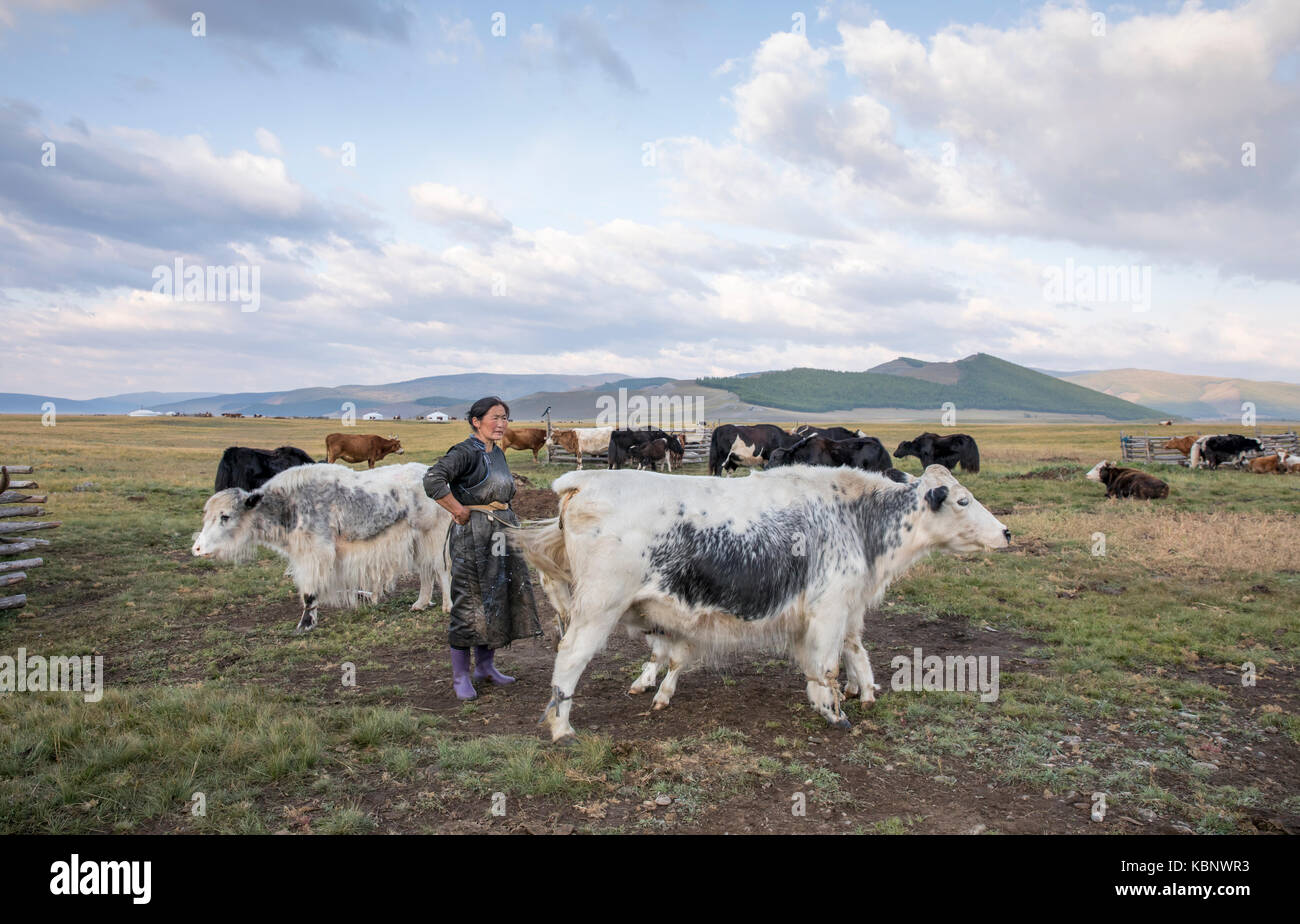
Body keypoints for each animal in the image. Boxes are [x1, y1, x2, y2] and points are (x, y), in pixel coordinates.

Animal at [189, 465, 454, 631]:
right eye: (206, 516)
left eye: (225, 516)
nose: (197, 549)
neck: (287, 505)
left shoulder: (315, 554)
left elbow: (309, 593)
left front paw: (305, 625)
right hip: (418, 540)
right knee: (426, 571)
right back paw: (420, 603)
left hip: (436, 536)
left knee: (441, 570)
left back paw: (447, 606)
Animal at [512, 465, 1008, 743]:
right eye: (963, 500)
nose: (1005, 532)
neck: (854, 518)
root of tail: (581, 483)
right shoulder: (828, 609)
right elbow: (827, 663)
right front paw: (834, 711)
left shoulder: (848, 607)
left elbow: (854, 650)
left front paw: (861, 692)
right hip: (597, 608)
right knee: (570, 658)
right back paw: (562, 729)